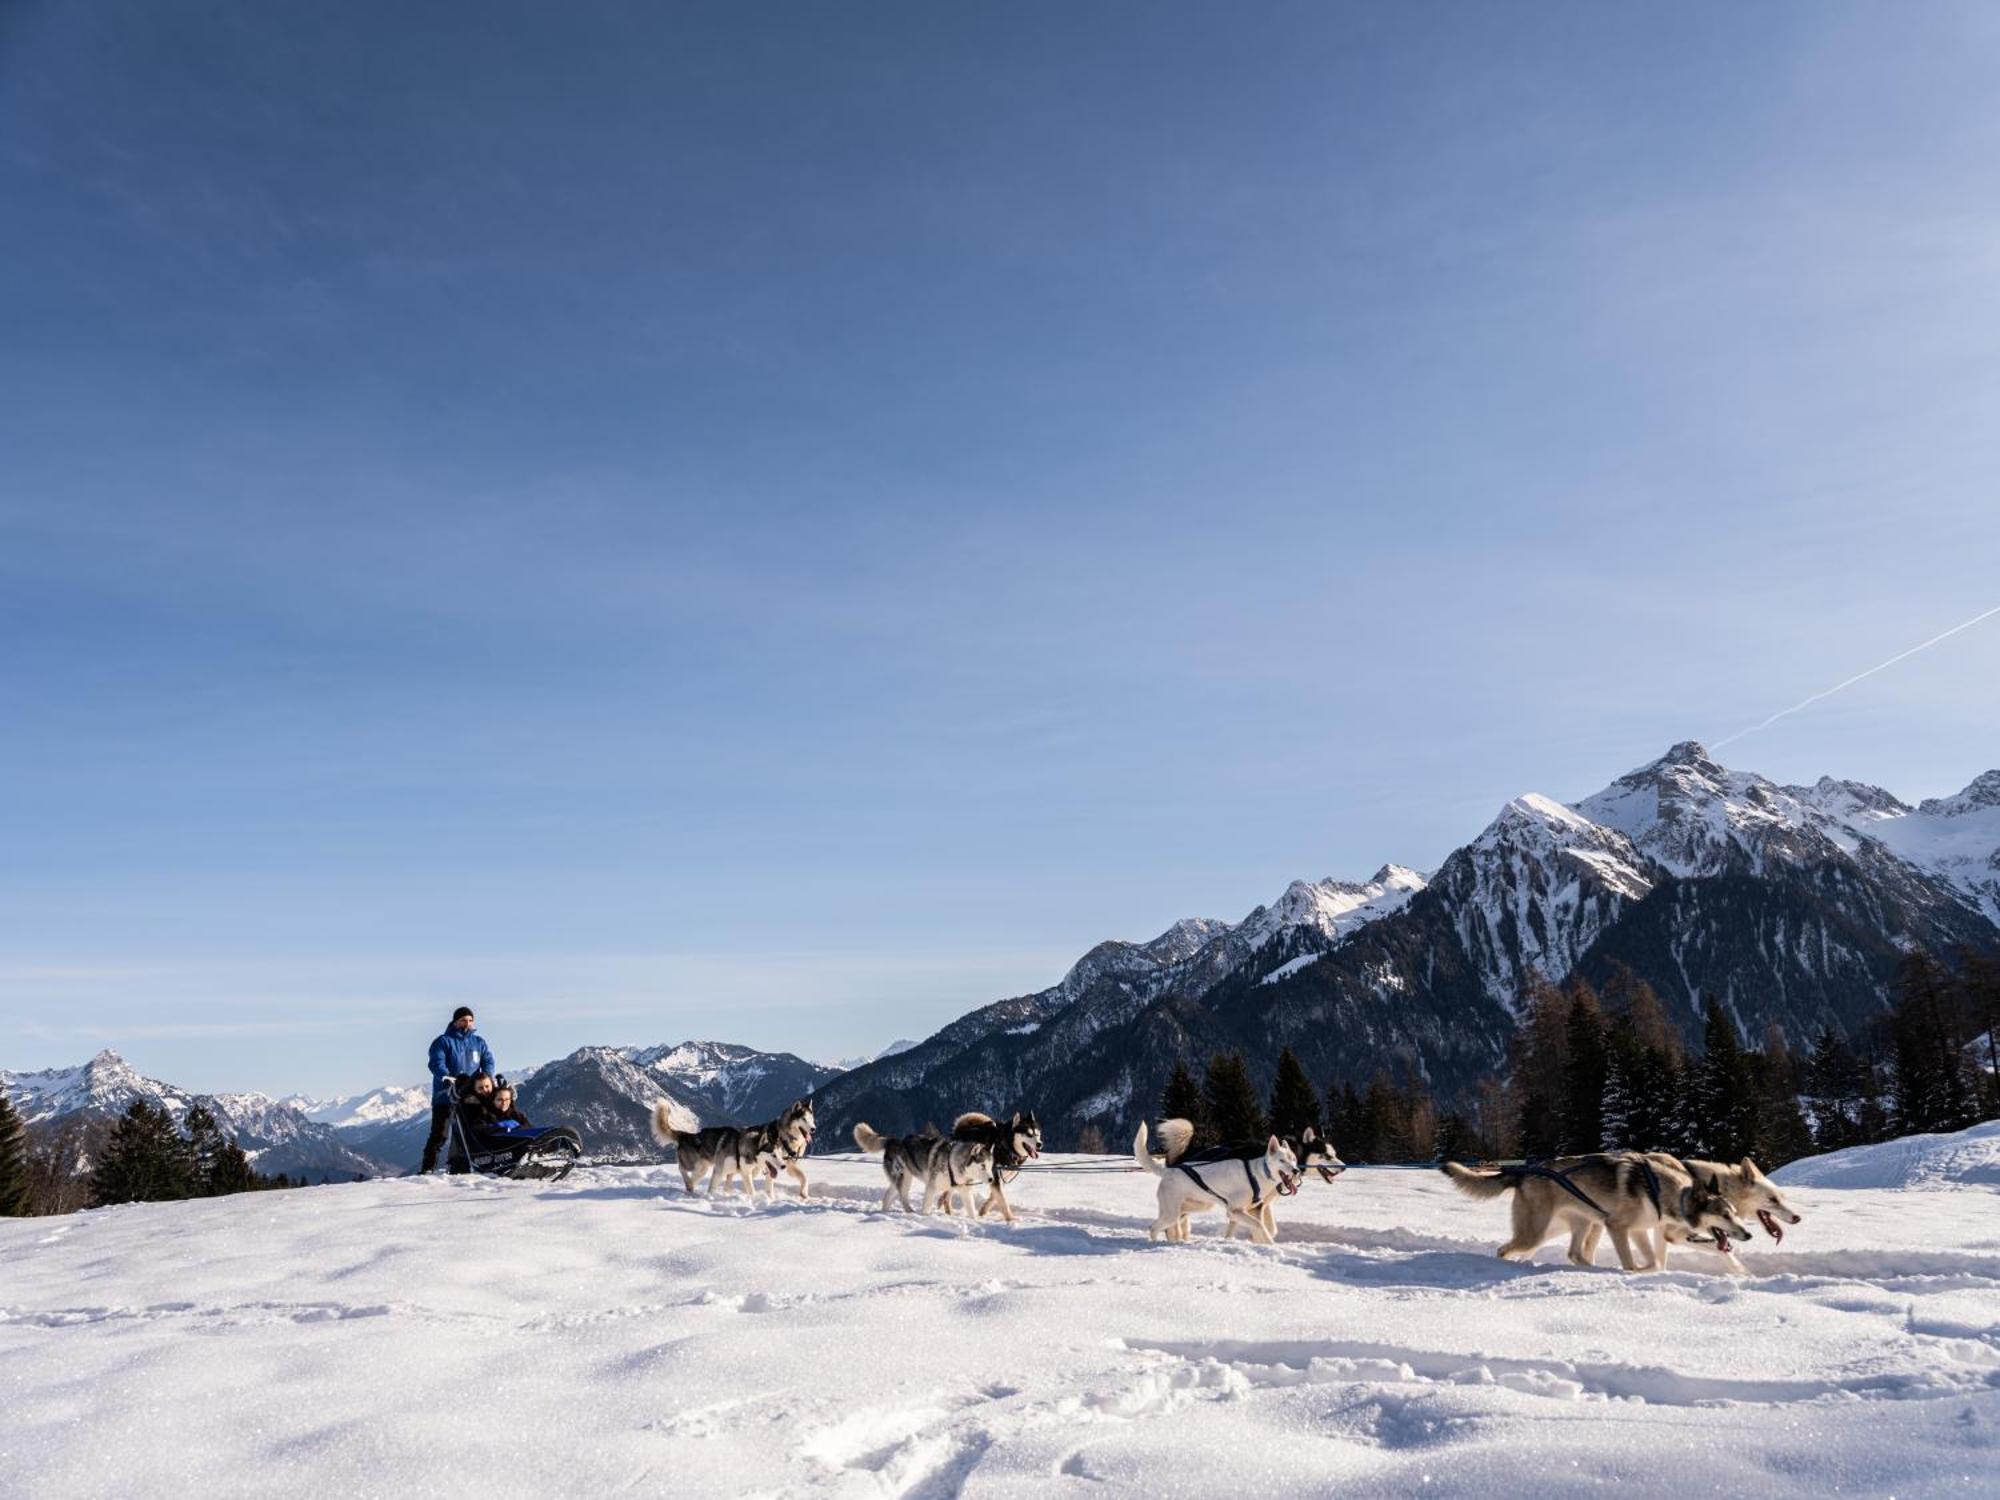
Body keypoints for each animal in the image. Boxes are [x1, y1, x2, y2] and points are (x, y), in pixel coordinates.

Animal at [652, 1096, 816, 1208]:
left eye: (812, 1119)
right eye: (804, 1119)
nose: (813, 1129)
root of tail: (686, 1134)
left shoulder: (749, 1171)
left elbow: (803, 1178)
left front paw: (803, 1194)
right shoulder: (723, 1170)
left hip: (702, 1169)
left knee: (693, 1179)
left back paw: (691, 1189)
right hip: (696, 1165)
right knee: (682, 1169)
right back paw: (689, 1185)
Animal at [1440, 1160, 1752, 1272]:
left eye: (1735, 1213)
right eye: (1725, 1215)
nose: (1748, 1234)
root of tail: (1523, 1173)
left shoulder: (1639, 1231)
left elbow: (1653, 1261)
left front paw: (1644, 1271)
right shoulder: (1618, 1227)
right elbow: (1631, 1262)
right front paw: (1631, 1271)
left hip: (1581, 1224)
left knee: (1574, 1253)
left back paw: (1589, 1268)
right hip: (1537, 1232)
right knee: (1504, 1250)